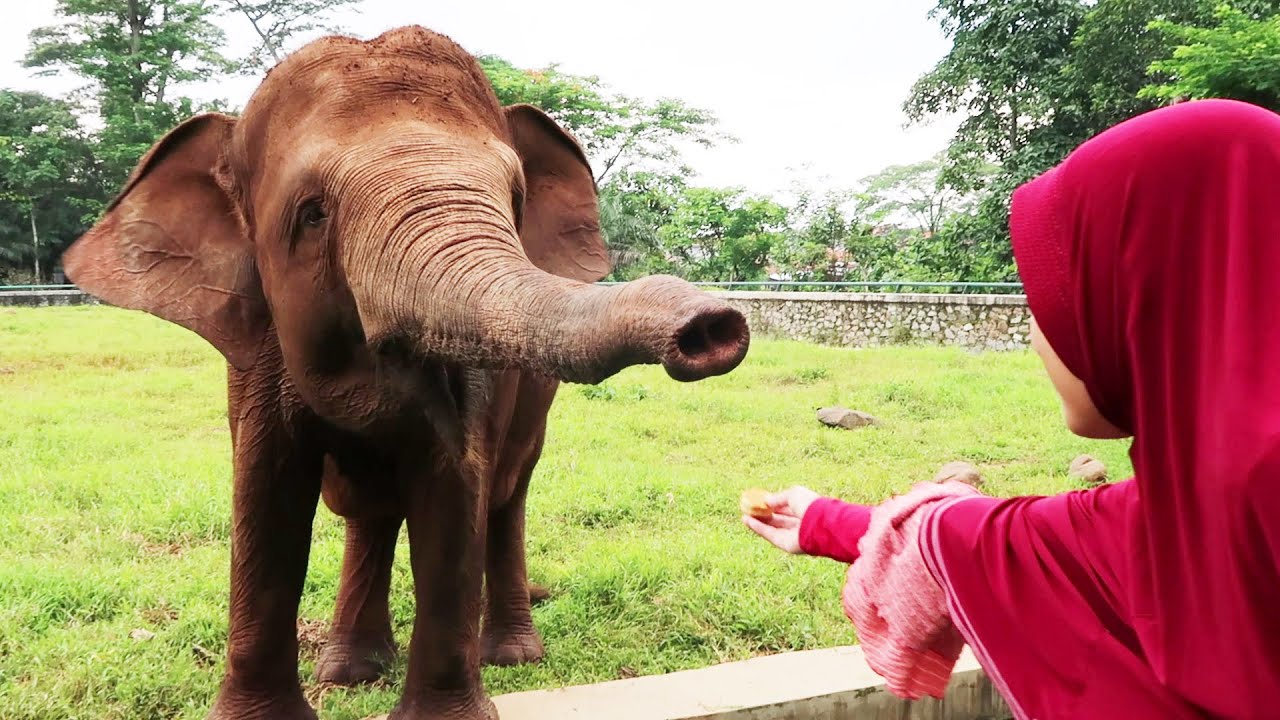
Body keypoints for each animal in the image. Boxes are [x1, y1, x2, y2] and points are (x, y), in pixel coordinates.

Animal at [62, 23, 747, 717]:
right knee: (370, 510)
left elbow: (453, 488)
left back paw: (510, 656)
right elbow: (266, 495)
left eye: (515, 200)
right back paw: (351, 672)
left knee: (506, 493)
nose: (713, 327)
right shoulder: (255, 351)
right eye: (313, 214)